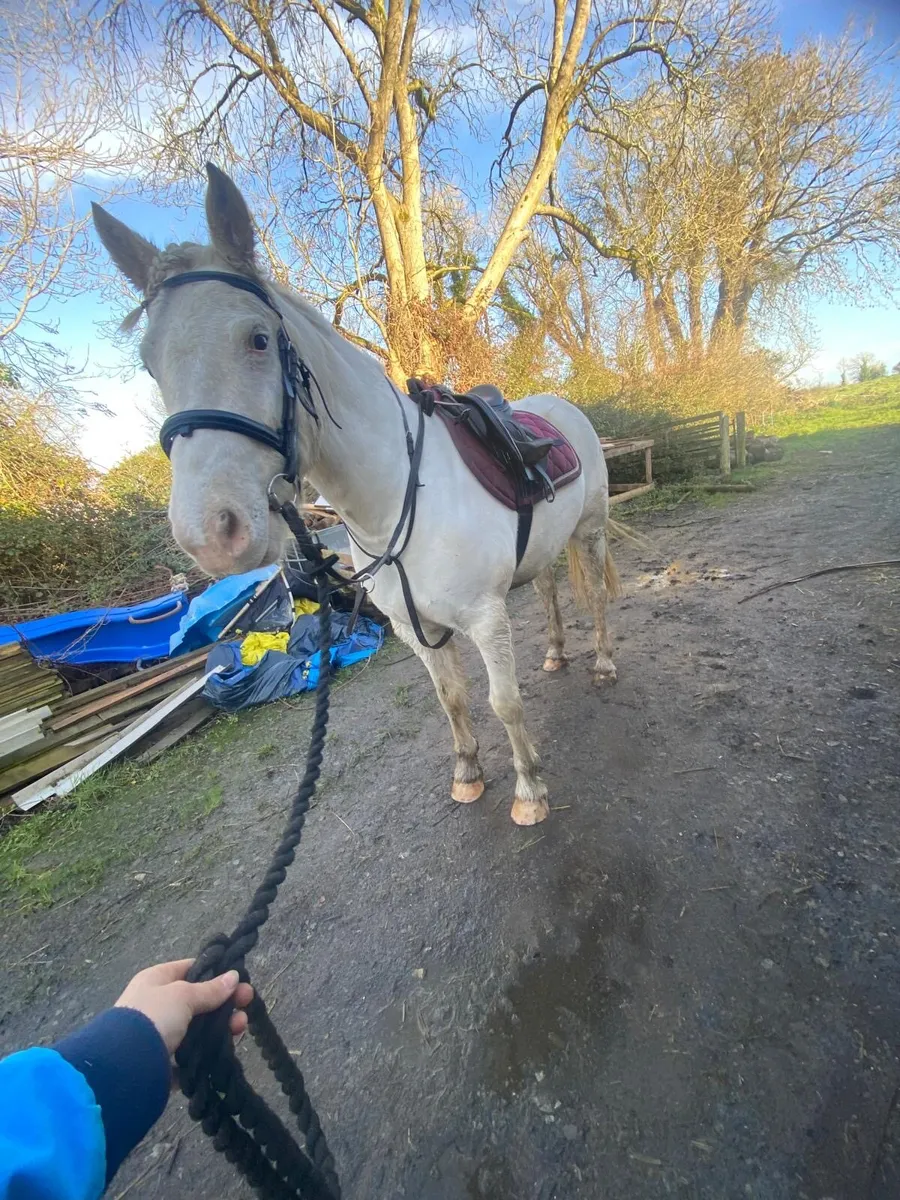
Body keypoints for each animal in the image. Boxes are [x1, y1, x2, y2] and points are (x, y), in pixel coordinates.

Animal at [92, 164, 620, 826]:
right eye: (149, 362)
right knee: (549, 592)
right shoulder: (414, 629)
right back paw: (554, 654)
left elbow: (505, 702)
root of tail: (560, 407)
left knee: (595, 596)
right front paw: (468, 774)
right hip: (543, 549)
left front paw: (529, 790)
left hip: (590, 532)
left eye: (258, 339)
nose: (211, 533)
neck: (398, 500)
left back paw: (602, 663)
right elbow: (452, 698)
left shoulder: (484, 618)